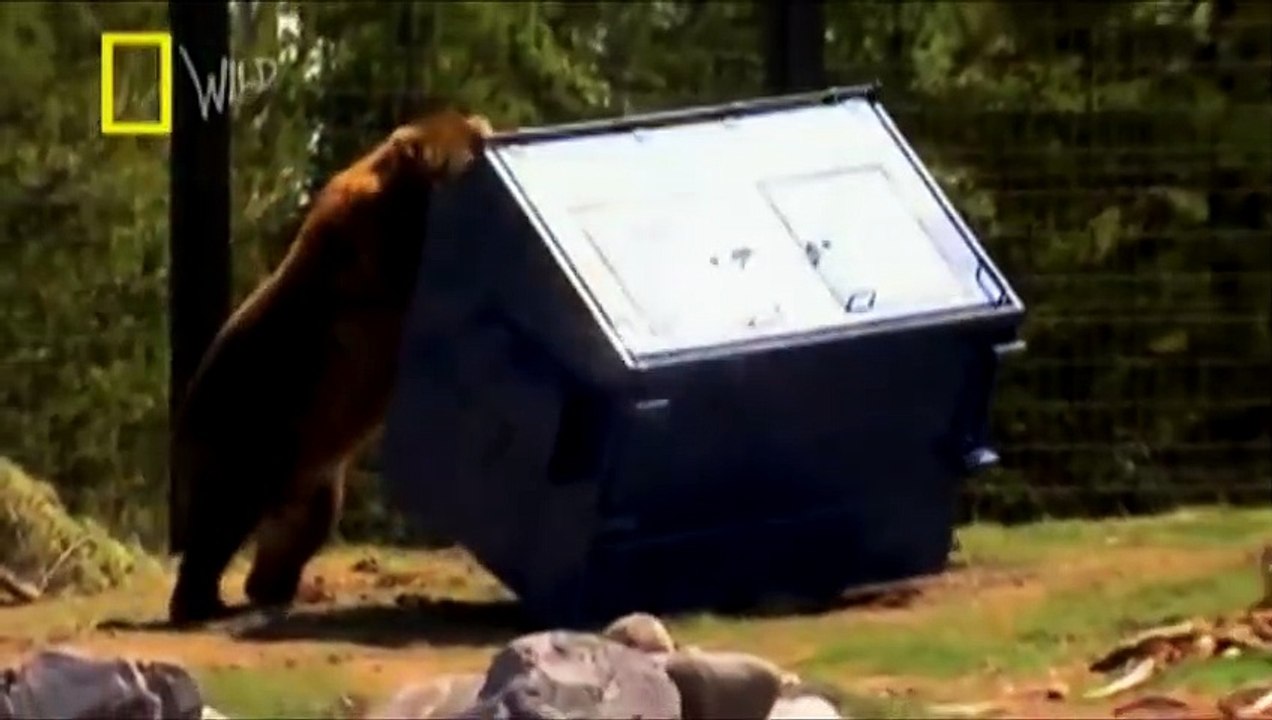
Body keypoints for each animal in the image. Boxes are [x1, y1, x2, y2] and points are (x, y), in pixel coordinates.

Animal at [166, 108, 494, 626]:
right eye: (467, 141)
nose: (486, 129)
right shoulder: (374, 255)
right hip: (247, 431)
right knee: (219, 520)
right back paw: (201, 602)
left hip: (314, 475)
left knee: (296, 533)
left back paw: (279, 589)